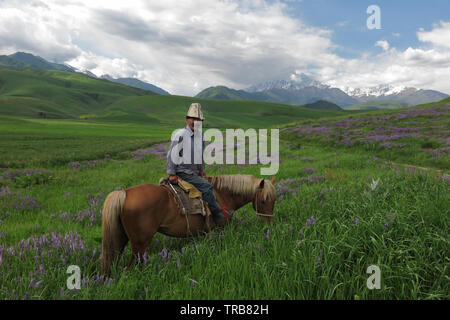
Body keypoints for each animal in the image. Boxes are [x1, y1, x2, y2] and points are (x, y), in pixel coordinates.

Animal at [101, 174, 276, 274]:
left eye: (274, 200)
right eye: (263, 200)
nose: (268, 226)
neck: (222, 194)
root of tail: (124, 193)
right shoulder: (219, 229)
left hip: (121, 239)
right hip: (140, 244)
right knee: (133, 266)